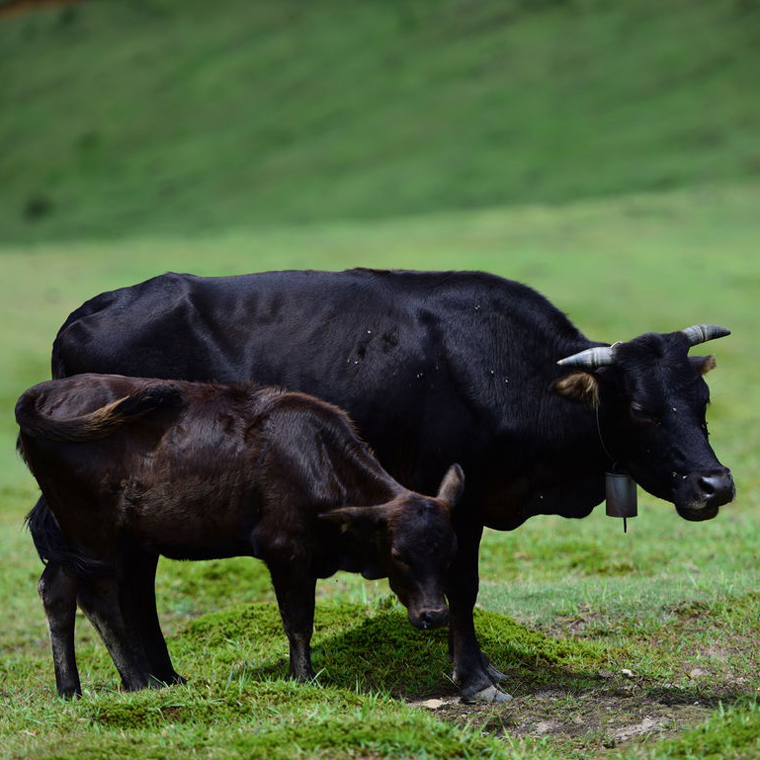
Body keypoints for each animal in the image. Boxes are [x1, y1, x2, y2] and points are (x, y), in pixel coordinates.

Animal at [16, 374, 464, 696]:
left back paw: (71, 689)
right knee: (100, 598)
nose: (434, 615)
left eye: (448, 555)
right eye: (399, 554)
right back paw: (139, 682)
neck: (316, 457)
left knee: (57, 591)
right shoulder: (285, 550)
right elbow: (298, 622)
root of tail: (48, 391)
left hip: (77, 536)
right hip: (94, 533)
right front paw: (303, 678)